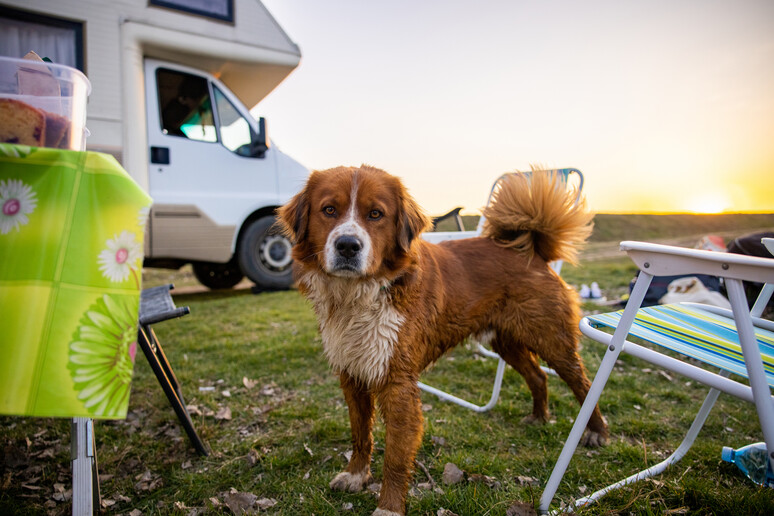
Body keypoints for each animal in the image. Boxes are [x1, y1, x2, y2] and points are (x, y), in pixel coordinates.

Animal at [276, 165, 608, 516]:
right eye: (329, 210)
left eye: (376, 214)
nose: (348, 246)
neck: (359, 295)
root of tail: (528, 248)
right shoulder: (352, 375)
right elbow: (360, 433)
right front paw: (356, 475)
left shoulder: (398, 383)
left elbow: (395, 456)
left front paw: (389, 506)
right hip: (505, 342)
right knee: (538, 376)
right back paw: (539, 416)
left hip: (552, 339)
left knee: (582, 383)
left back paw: (597, 432)